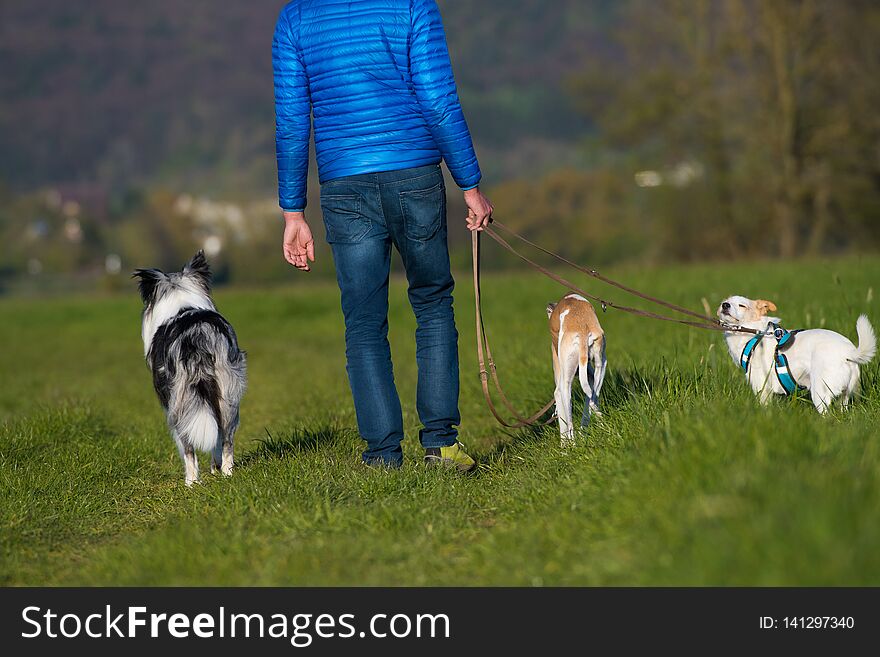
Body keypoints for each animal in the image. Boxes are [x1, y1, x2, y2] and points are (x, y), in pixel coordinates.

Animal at [132, 251, 248, 486]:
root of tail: (197, 335)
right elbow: (216, 440)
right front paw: (215, 468)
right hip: (228, 392)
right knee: (226, 438)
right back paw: (227, 473)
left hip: (179, 400)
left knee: (187, 445)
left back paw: (191, 483)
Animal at [548, 294, 608, 444]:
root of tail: (582, 331)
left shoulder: (558, 392)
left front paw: (564, 447)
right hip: (600, 366)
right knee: (592, 400)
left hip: (565, 384)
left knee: (570, 424)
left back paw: (574, 444)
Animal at [720, 296, 872, 412]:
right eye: (725, 301)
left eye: (742, 305)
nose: (725, 305)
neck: (754, 333)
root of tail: (849, 352)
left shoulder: (761, 386)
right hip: (845, 395)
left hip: (820, 391)